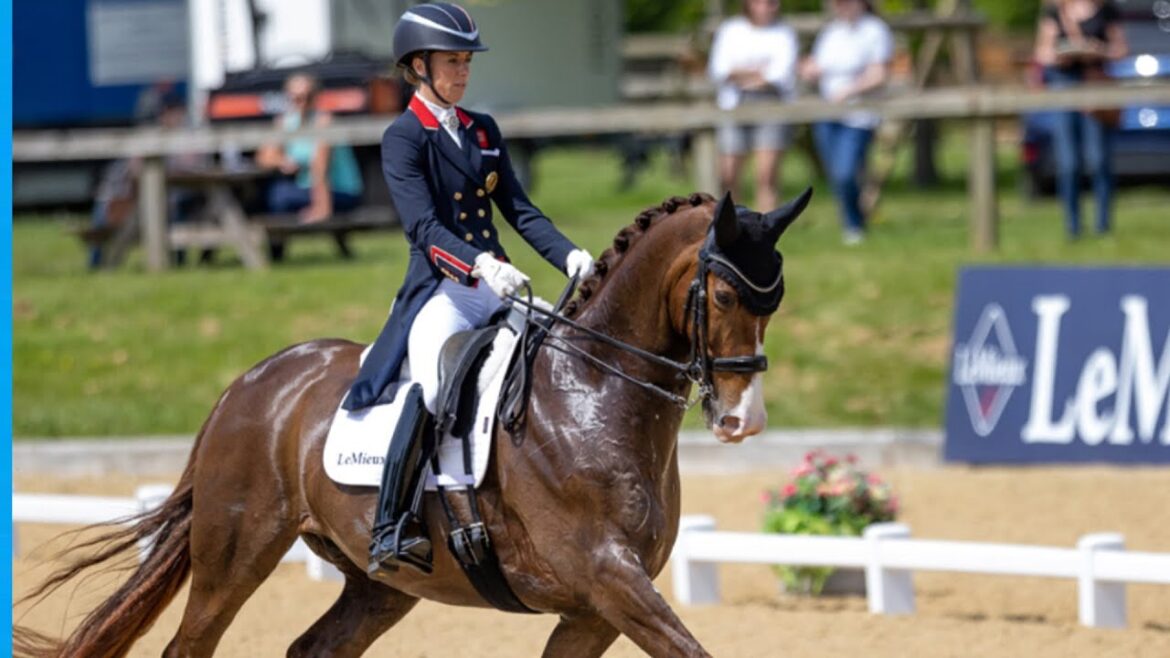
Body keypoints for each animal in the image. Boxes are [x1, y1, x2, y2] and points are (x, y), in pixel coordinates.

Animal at [15, 189, 810, 658]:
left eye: (773, 301)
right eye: (724, 296)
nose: (743, 420)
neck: (593, 392)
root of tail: (251, 383)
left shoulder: (595, 609)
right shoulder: (609, 580)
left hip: (380, 584)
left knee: (313, 649)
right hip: (234, 556)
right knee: (191, 645)